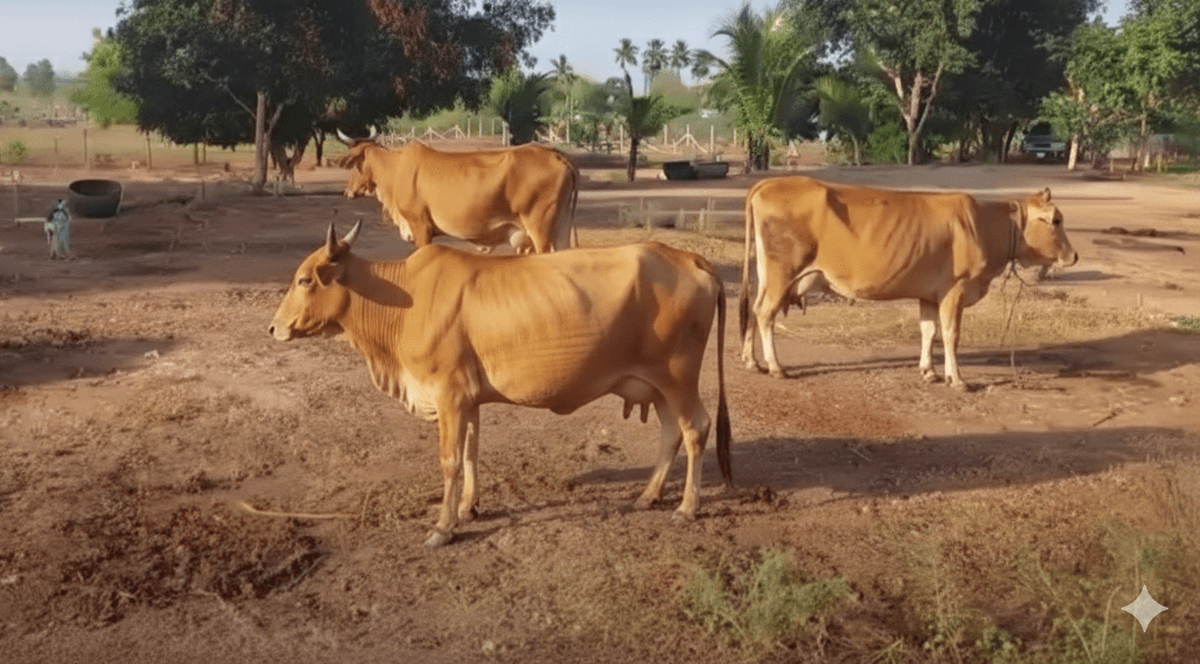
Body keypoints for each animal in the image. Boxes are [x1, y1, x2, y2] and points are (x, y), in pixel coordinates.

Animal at [269, 222, 732, 546]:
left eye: (305, 279)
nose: (274, 327)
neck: (403, 302)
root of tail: (690, 258)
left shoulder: (450, 395)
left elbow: (450, 461)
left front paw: (443, 526)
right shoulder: (469, 399)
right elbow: (471, 453)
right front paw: (469, 507)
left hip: (678, 378)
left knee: (696, 429)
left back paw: (687, 507)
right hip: (659, 386)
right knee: (671, 433)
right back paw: (648, 495)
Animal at [335, 128, 578, 254]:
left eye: (355, 164)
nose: (347, 192)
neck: (395, 169)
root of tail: (556, 154)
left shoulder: (421, 227)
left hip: (540, 231)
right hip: (560, 229)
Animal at [738, 176, 1079, 389]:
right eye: (1056, 220)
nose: (1074, 256)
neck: (984, 225)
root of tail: (769, 183)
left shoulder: (929, 294)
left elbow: (928, 331)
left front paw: (929, 371)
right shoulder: (955, 290)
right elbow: (951, 335)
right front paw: (957, 379)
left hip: (768, 273)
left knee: (754, 308)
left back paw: (752, 361)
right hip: (783, 273)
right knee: (765, 313)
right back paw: (776, 367)